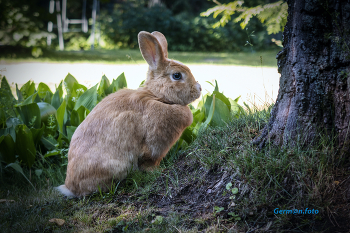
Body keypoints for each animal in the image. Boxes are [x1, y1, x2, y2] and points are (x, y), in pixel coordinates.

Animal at [56, 31, 201, 198]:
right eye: (177, 75)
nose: (199, 89)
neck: (157, 96)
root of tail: (70, 187)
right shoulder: (153, 146)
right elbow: (149, 162)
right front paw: (157, 171)